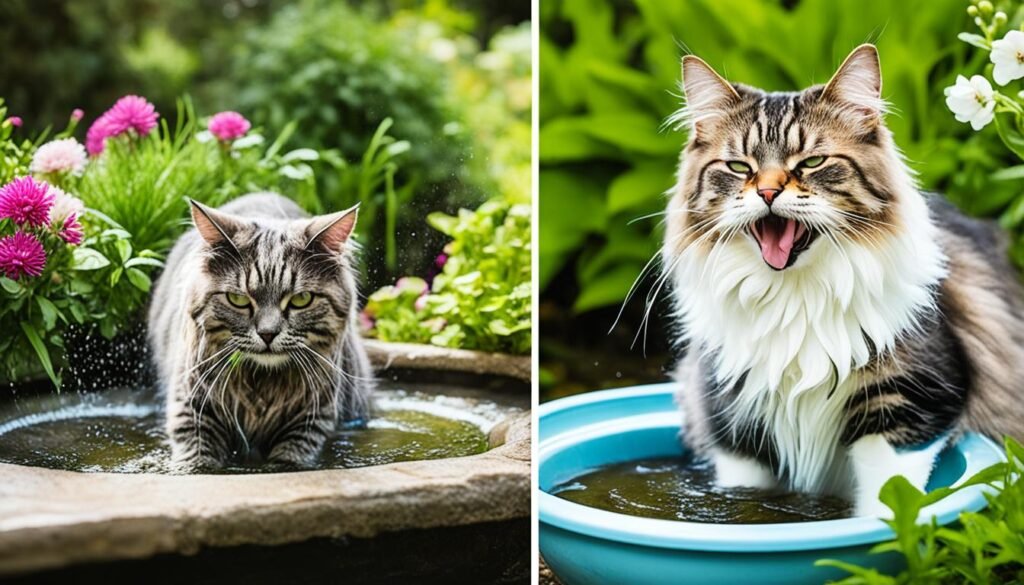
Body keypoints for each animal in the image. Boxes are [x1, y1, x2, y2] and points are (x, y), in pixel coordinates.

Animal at [148, 192, 372, 471]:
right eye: (238, 299)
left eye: (301, 300)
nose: (267, 333)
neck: (261, 386)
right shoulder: (190, 408)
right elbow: (197, 460)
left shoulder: (312, 419)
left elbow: (290, 460)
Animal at [663, 44, 1024, 512]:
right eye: (740, 167)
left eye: (812, 162)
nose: (767, 193)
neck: (792, 298)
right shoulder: (735, 427)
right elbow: (746, 499)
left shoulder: (908, 406)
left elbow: (889, 499)